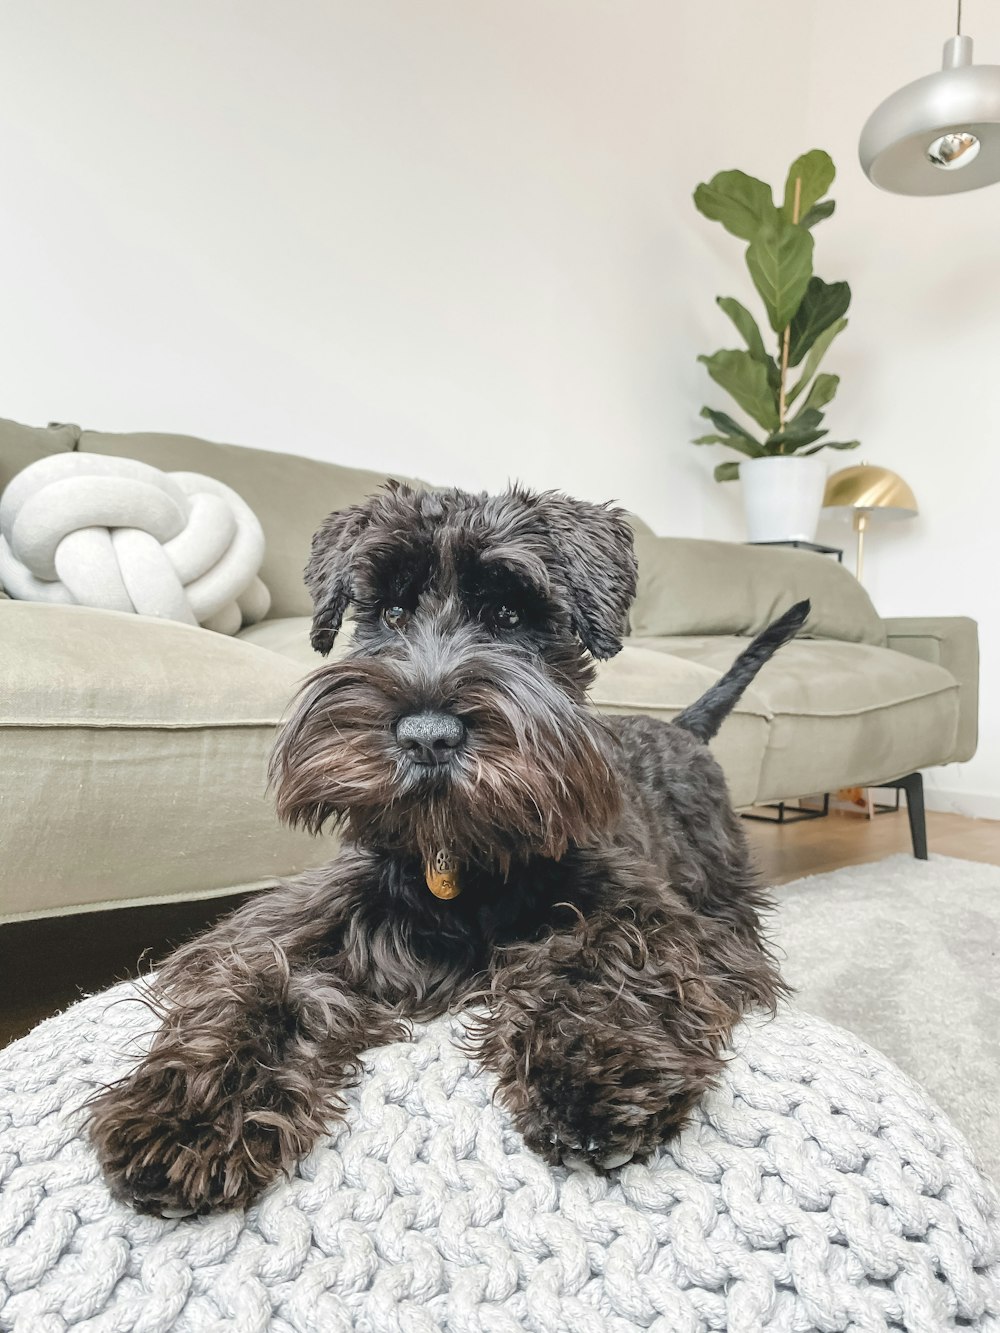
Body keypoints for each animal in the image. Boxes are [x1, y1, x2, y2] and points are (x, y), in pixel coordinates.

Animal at [90, 487, 810, 1221]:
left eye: (510, 614)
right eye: (389, 611)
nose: (427, 736)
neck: (463, 858)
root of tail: (683, 726)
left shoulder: (655, 917)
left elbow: (605, 953)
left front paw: (592, 1069)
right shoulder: (304, 924)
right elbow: (254, 982)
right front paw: (189, 1113)